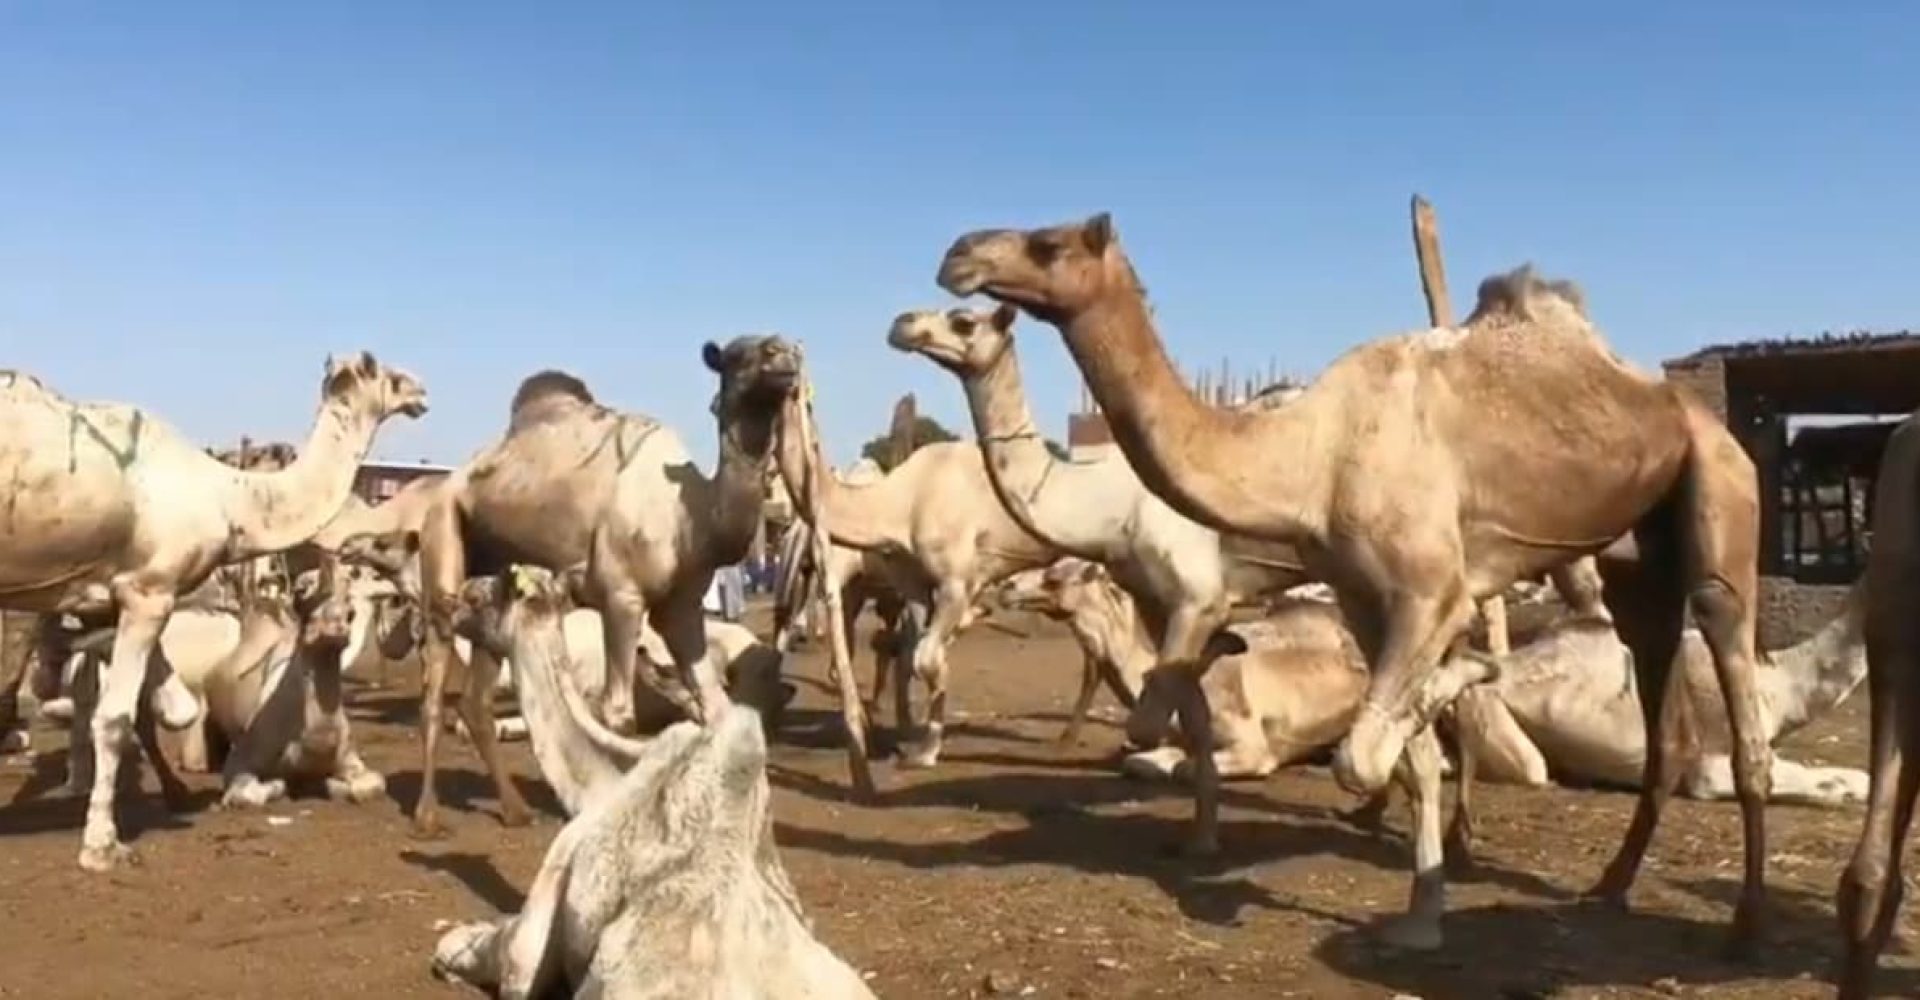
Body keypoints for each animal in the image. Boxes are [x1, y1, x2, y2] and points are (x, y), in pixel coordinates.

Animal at [0, 352, 426, 870]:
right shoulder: (149, 590)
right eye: (390, 376)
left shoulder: (122, 590)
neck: (228, 495)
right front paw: (102, 846)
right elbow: (115, 716)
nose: (422, 392)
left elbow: (170, 706)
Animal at [409, 337, 799, 837]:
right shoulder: (621, 598)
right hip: (443, 531)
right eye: (736, 355)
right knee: (435, 680)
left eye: (786, 348)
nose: (783, 355)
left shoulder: (683, 609)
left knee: (476, 700)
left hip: (493, 586)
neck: (690, 518)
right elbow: (620, 715)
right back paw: (427, 814)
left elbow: (716, 706)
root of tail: (449, 479)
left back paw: (515, 810)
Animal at [772, 396, 1059, 768]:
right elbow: (908, 654)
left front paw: (921, 745)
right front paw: (906, 739)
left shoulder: (950, 583)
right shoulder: (910, 587)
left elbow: (919, 657)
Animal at [937, 213, 1772, 953]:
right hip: (1637, 561)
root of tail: (1677, 400)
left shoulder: (1427, 590)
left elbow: (1362, 750)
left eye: (1048, 243)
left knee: (1734, 684)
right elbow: (1403, 755)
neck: (1311, 454)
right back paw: (1606, 884)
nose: (958, 254)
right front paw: (1421, 917)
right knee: (1662, 713)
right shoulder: (1362, 599)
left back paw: (1744, 929)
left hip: (1721, 495)